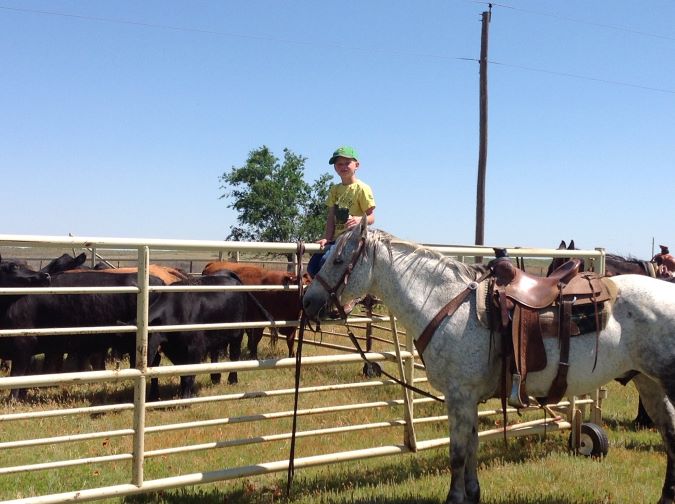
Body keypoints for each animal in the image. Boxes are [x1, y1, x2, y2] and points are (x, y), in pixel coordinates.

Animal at [143, 272, 248, 402]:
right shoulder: (177, 350)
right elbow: (184, 373)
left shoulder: (194, 349)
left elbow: (189, 374)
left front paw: (185, 398)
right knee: (215, 353)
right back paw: (215, 378)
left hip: (237, 334)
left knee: (234, 355)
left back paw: (232, 380)